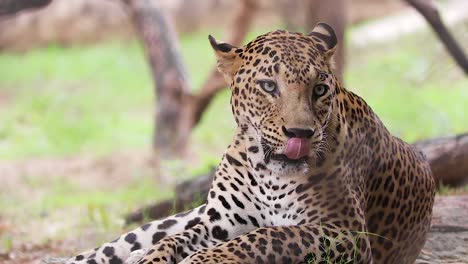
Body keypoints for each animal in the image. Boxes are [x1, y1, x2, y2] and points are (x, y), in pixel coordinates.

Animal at [57, 23, 436, 264]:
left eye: (319, 89)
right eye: (269, 86)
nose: (300, 134)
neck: (270, 172)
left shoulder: (344, 232)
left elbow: (266, 236)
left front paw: (198, 260)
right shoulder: (218, 223)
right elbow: (177, 240)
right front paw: (152, 258)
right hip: (178, 217)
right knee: (119, 245)